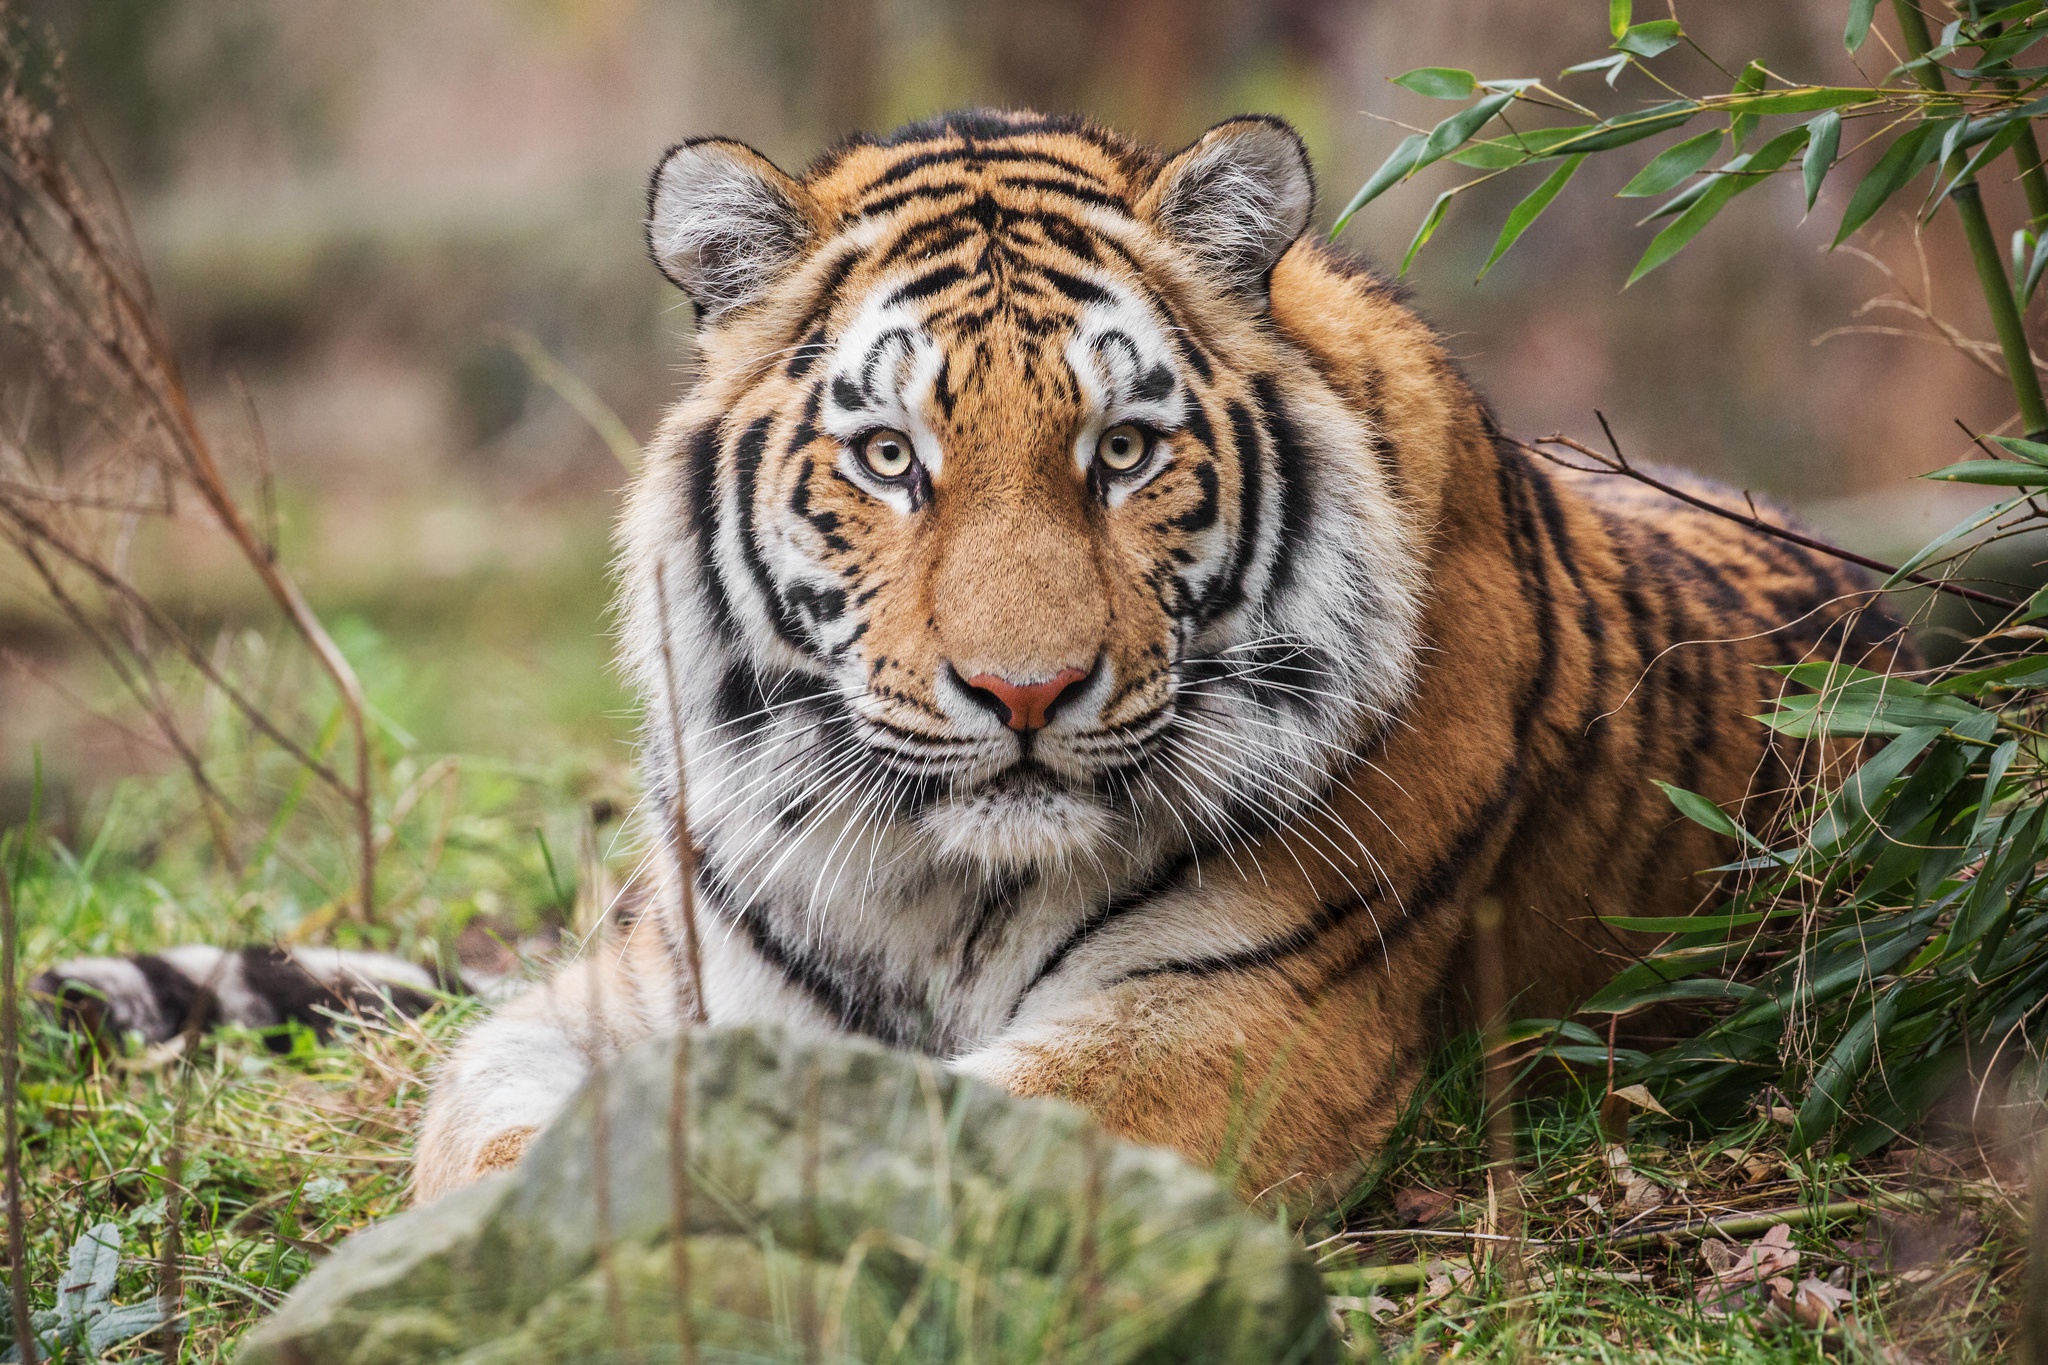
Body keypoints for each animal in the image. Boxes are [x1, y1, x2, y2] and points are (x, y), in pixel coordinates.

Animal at [32, 109, 1892, 1203]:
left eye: (1123, 453)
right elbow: (489, 1123)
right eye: (888, 458)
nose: (1023, 697)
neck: (937, 886)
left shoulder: (1241, 1025)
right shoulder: (624, 993)